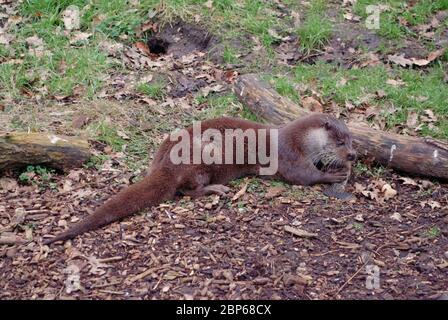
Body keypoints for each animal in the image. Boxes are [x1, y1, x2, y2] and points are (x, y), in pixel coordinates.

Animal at [43, 114, 356, 244]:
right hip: (203, 161)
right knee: (186, 191)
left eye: (352, 139)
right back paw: (215, 189)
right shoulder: (288, 155)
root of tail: (166, 164)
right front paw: (334, 172)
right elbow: (303, 176)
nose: (352, 155)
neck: (300, 140)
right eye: (340, 142)